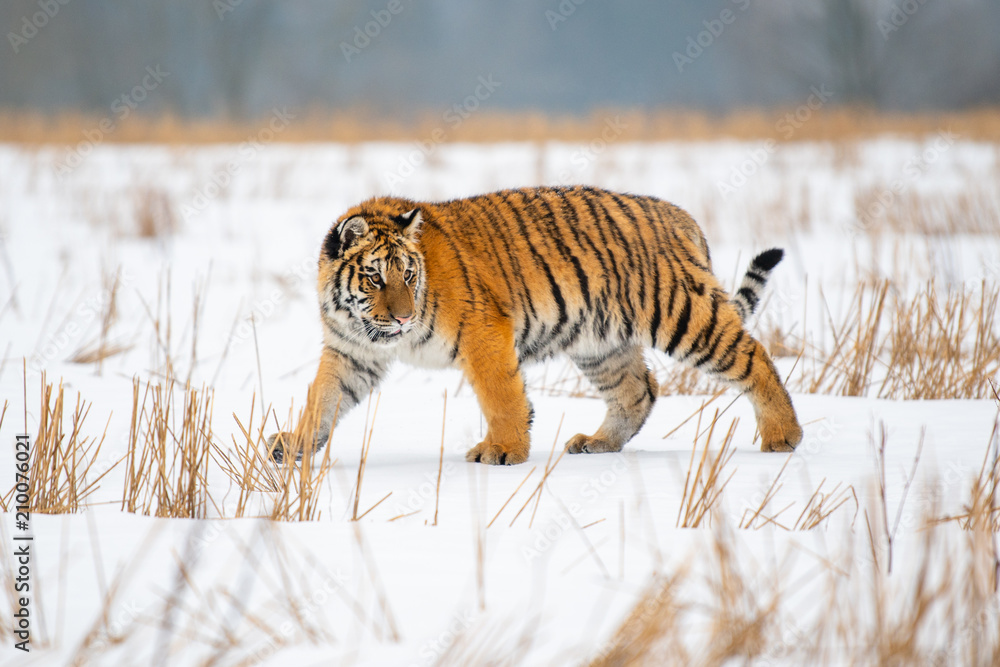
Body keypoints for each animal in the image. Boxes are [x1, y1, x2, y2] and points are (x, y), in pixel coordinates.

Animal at [267, 185, 803, 465]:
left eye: (409, 274)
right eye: (375, 276)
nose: (402, 316)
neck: (366, 326)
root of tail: (681, 216)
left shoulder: (483, 331)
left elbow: (501, 396)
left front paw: (503, 451)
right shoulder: (350, 353)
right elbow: (323, 398)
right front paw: (293, 446)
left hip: (680, 313)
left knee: (754, 356)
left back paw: (783, 436)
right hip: (600, 342)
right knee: (639, 389)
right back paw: (598, 443)